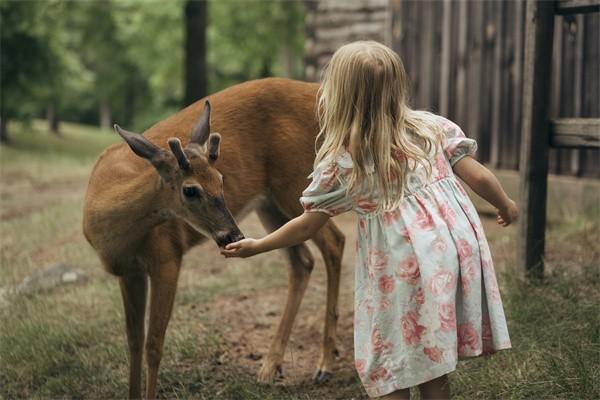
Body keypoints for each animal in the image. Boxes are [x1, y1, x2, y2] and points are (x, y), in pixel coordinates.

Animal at [82, 77, 350, 396]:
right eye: (190, 190)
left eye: (221, 179)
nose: (233, 234)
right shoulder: (129, 272)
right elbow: (133, 341)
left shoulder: (166, 256)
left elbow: (154, 344)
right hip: (269, 202)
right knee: (302, 261)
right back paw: (270, 366)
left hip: (297, 180)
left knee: (334, 242)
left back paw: (324, 363)